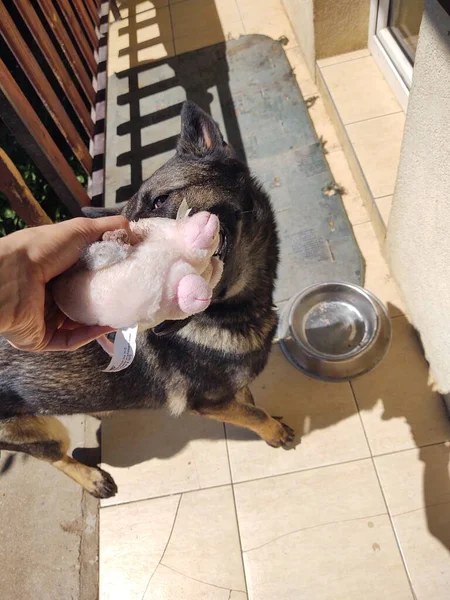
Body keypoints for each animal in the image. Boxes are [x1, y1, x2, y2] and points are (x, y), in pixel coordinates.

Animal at [0, 102, 296, 496]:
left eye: (160, 200)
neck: (237, 311)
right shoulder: (207, 403)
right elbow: (253, 413)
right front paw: (274, 432)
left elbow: (246, 398)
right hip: (39, 431)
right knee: (56, 456)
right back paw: (92, 478)